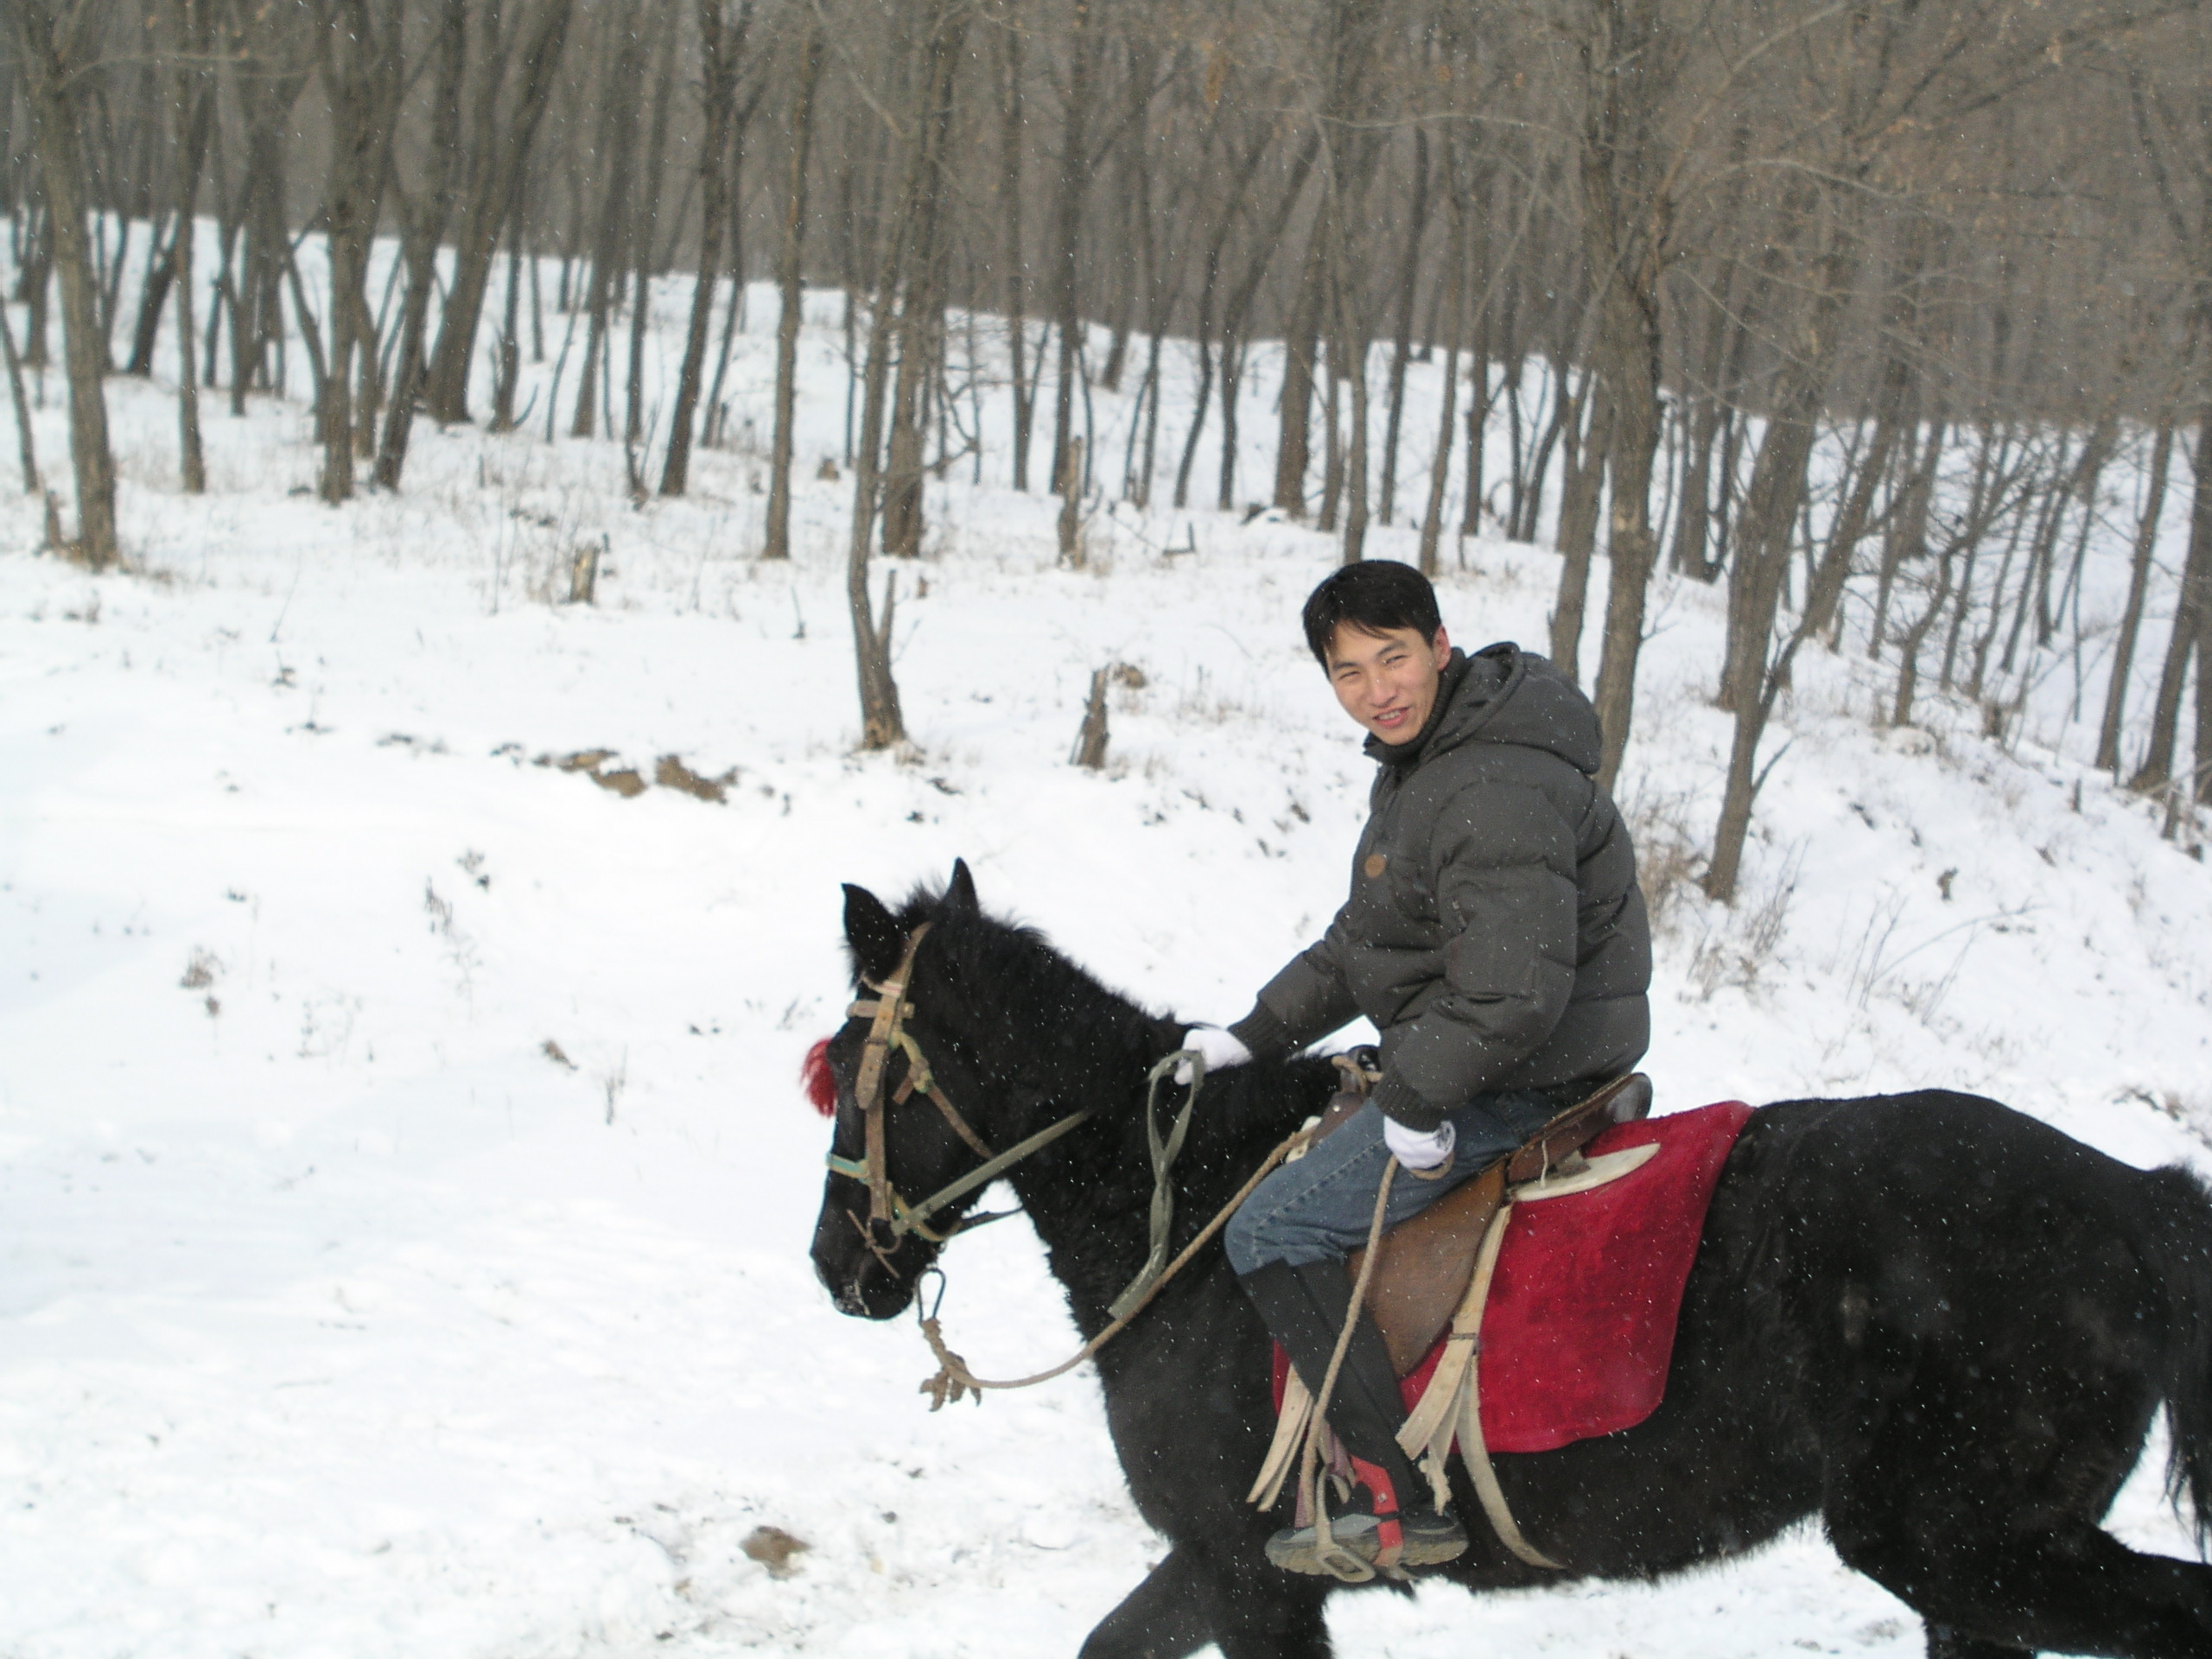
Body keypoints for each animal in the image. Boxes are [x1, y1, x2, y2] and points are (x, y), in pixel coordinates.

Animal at [809, 871, 2212, 1659]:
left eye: (859, 1067)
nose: (838, 1267)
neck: (1192, 1213)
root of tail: (2134, 1200)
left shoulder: (1247, 1573)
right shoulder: (1217, 1565)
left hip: (1972, 1548)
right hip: (1975, 1573)